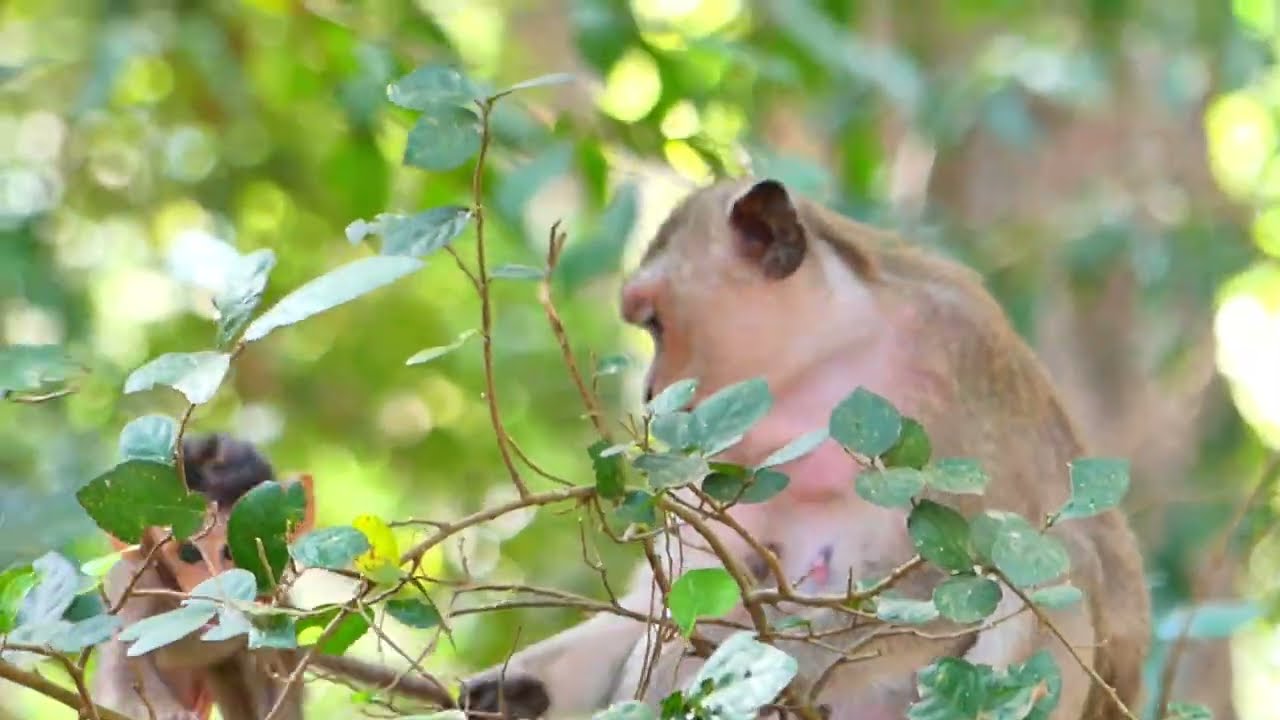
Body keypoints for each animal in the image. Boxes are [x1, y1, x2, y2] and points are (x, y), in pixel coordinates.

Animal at [92, 433, 314, 720]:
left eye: (233, 550)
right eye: (189, 553)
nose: (220, 592)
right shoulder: (136, 584)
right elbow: (123, 669)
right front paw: (170, 714)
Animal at [458, 177, 1151, 720]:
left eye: (655, 323)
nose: (654, 391)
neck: (827, 353)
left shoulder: (951, 364)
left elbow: (980, 580)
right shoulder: (724, 444)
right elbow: (678, 593)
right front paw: (511, 689)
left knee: (1053, 583)